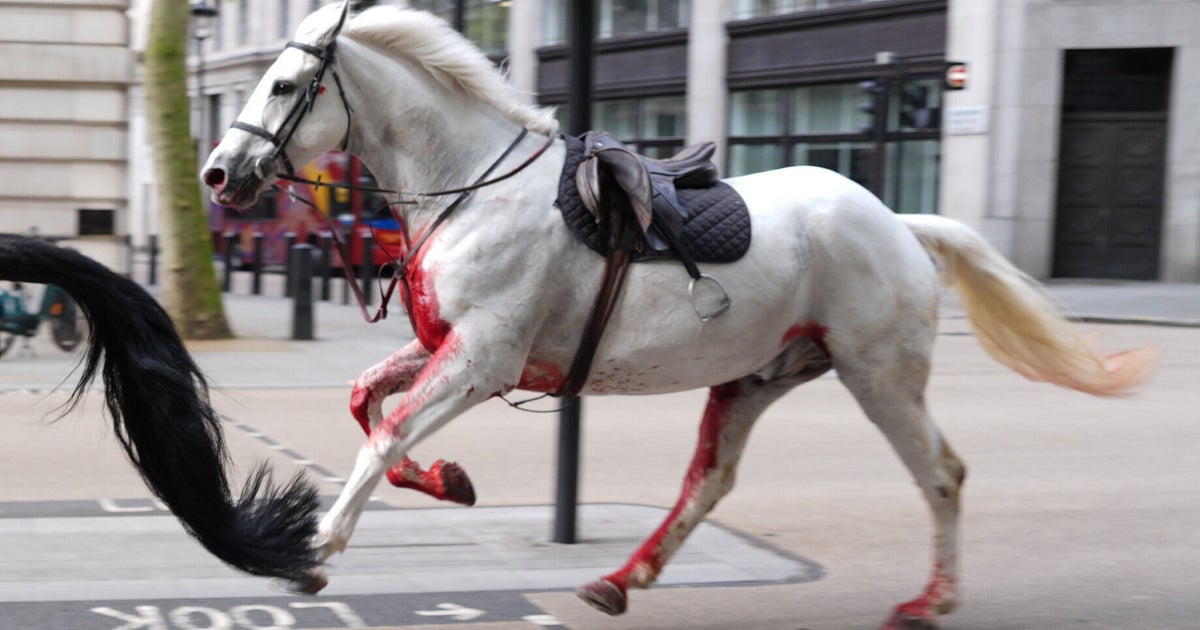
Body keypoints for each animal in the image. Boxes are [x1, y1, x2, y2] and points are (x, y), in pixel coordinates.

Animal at [200, 2, 1145, 628]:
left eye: (285, 84)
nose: (216, 174)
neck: (471, 187)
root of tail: (898, 221)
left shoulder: (482, 358)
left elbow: (387, 434)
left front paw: (315, 553)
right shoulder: (451, 348)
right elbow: (366, 402)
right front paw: (448, 481)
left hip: (880, 376)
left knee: (942, 474)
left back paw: (932, 599)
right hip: (758, 377)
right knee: (710, 481)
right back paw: (622, 578)